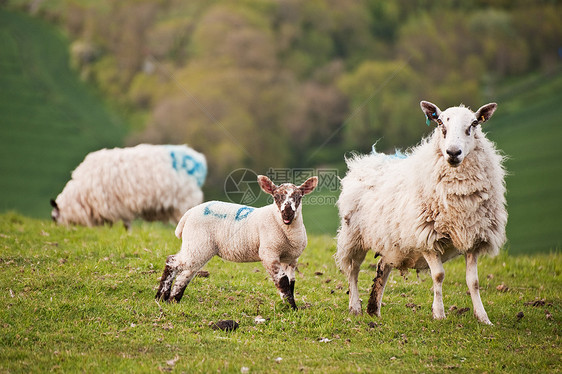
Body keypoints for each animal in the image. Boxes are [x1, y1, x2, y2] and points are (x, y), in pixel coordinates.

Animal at [50, 143, 206, 229]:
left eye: (54, 218)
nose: (57, 230)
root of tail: (199, 161)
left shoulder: (117, 204)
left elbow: (126, 224)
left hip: (185, 200)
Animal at [155, 175, 318, 310]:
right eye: (276, 196)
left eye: (298, 197)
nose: (287, 213)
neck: (280, 223)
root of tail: (189, 213)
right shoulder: (269, 253)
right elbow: (282, 281)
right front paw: (292, 308)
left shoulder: (291, 259)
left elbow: (290, 283)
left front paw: (289, 305)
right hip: (198, 243)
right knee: (172, 261)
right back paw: (161, 297)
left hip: (198, 247)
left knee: (185, 274)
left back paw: (173, 300)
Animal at [334, 100, 506, 324]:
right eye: (440, 123)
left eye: (474, 124)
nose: (453, 152)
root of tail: (367, 159)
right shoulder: (426, 236)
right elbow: (438, 275)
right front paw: (439, 314)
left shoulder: (474, 238)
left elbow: (473, 281)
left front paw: (483, 318)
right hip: (354, 236)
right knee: (353, 270)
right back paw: (355, 306)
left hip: (392, 241)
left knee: (383, 266)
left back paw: (374, 308)